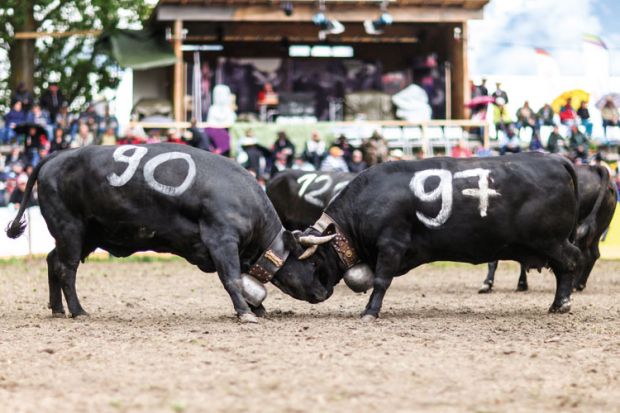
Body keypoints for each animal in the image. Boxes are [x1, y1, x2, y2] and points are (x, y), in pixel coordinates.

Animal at [282, 153, 596, 318]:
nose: (310, 294)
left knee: (571, 261)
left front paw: (370, 310)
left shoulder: (391, 245)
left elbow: (381, 282)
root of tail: (555, 159)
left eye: (311, 261)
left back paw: (562, 303)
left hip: (551, 240)